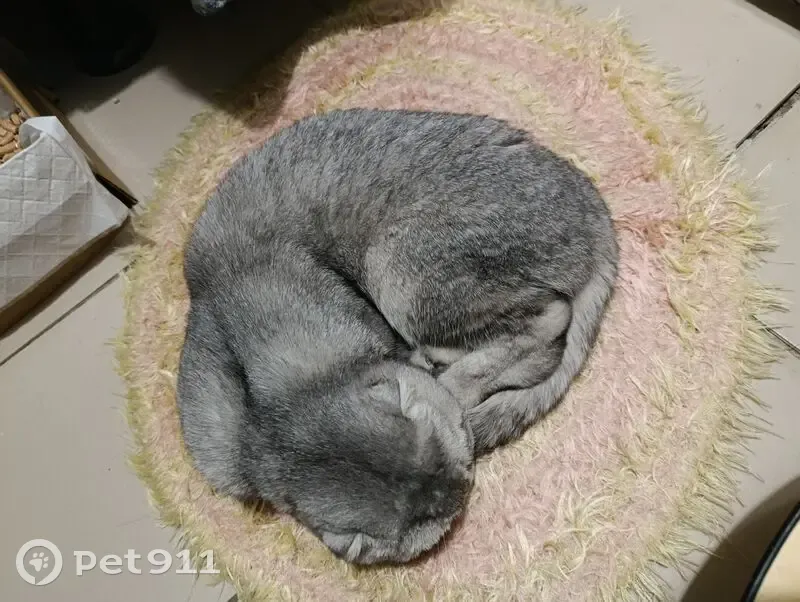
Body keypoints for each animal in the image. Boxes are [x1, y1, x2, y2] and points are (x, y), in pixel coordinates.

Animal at [177, 108, 618, 564]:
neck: (266, 421)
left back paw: (450, 374)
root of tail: (591, 206)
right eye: (425, 521)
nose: (461, 486)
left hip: (395, 267)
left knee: (551, 322)